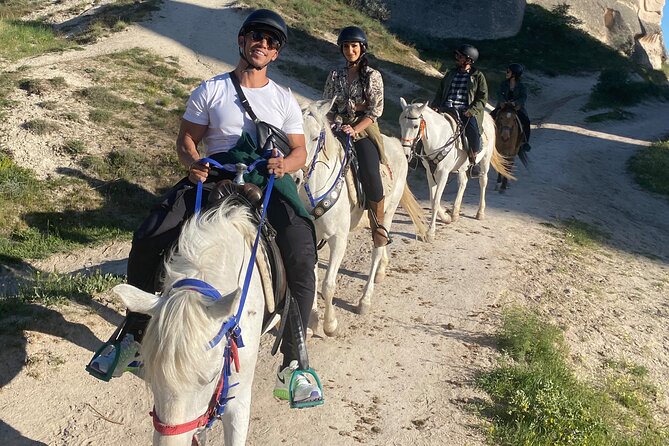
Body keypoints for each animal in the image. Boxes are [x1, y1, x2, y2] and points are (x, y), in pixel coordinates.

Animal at [300, 98, 426, 334]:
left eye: (314, 137)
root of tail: (397, 145)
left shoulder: (338, 239)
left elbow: (328, 285)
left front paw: (330, 324)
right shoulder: (310, 237)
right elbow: (311, 278)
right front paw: (312, 322)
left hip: (387, 212)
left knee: (378, 247)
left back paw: (364, 301)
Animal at [396, 97, 512, 240]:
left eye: (415, 126)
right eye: (401, 124)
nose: (405, 153)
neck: (438, 139)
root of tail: (487, 117)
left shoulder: (443, 174)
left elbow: (436, 201)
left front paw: (430, 232)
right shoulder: (430, 172)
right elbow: (433, 199)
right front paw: (446, 217)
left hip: (485, 160)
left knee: (483, 182)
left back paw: (480, 212)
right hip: (462, 167)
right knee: (463, 183)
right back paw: (455, 213)